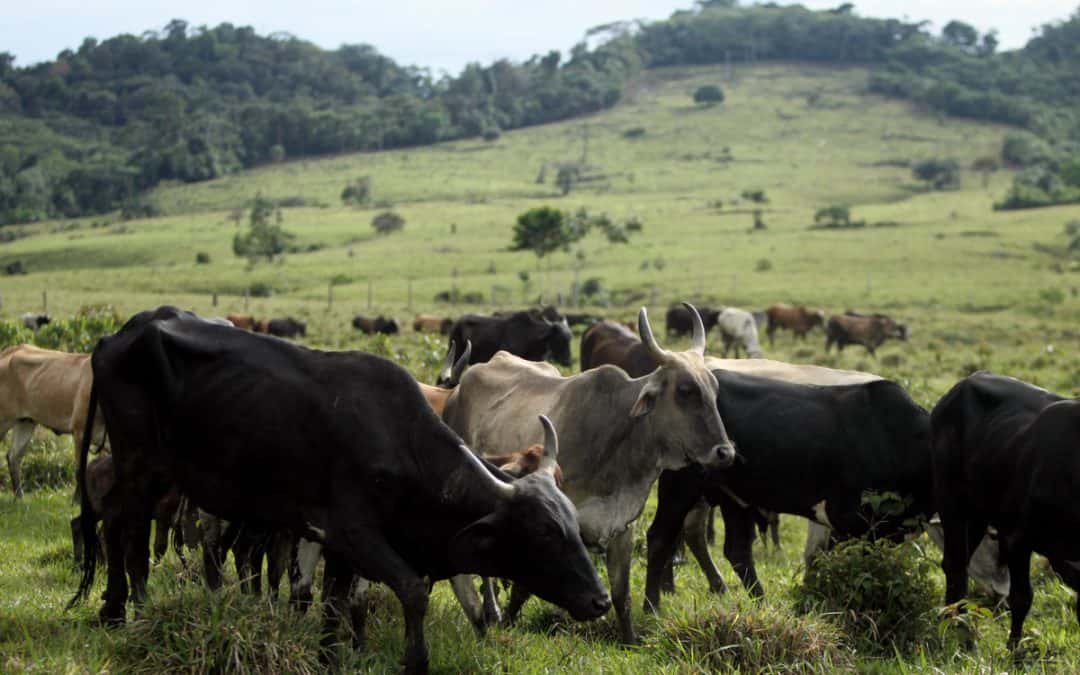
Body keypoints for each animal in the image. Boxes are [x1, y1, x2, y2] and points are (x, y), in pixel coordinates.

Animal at [0, 345, 104, 496]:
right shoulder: (80, 431)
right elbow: (80, 471)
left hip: (25, 422)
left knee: (13, 456)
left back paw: (19, 497)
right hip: (4, 420)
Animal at [67, 306, 609, 673]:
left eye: (571, 525)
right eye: (544, 533)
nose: (600, 600)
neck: (399, 442)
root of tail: (121, 333)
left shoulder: (337, 546)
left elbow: (335, 605)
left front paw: (331, 656)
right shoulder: (355, 535)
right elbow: (412, 593)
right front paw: (415, 661)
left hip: (156, 473)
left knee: (117, 526)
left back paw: (114, 609)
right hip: (137, 465)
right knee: (128, 536)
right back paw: (130, 611)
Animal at [442, 302, 738, 639]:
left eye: (714, 388)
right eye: (685, 390)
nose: (725, 452)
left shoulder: (622, 526)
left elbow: (621, 594)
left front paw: (630, 640)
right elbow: (523, 587)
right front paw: (508, 622)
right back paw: (491, 611)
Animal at [639, 362, 928, 609]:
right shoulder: (848, 520)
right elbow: (833, 563)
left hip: (734, 496)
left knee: (736, 549)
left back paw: (760, 604)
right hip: (680, 486)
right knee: (661, 537)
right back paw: (652, 607)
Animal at [928, 369, 1080, 648]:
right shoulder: (1017, 541)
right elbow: (1021, 597)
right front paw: (1014, 649)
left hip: (978, 515)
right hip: (951, 503)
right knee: (955, 565)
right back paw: (960, 629)